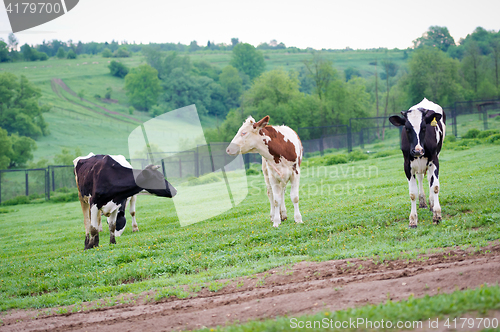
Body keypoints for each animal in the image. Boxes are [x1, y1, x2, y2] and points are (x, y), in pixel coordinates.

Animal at [388, 98, 448, 228]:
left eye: (424, 127)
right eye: (407, 128)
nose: (417, 150)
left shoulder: (434, 160)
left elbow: (435, 186)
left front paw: (437, 215)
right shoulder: (407, 165)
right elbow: (412, 193)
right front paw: (413, 220)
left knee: (430, 179)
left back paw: (431, 203)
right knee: (420, 178)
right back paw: (423, 202)